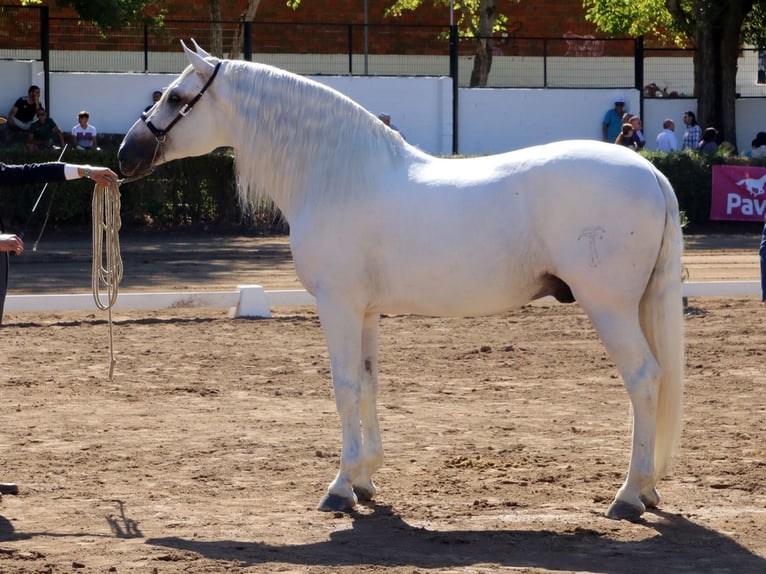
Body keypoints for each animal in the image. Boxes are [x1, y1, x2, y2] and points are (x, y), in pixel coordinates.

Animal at [119, 41, 684, 522]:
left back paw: (628, 495)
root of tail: (650, 172)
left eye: (175, 97)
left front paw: (340, 487)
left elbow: (345, 385)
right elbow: (368, 383)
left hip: (608, 306)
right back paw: (649, 489)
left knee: (643, 378)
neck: (340, 175)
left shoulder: (338, 304)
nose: (125, 154)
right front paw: (365, 480)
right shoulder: (366, 310)